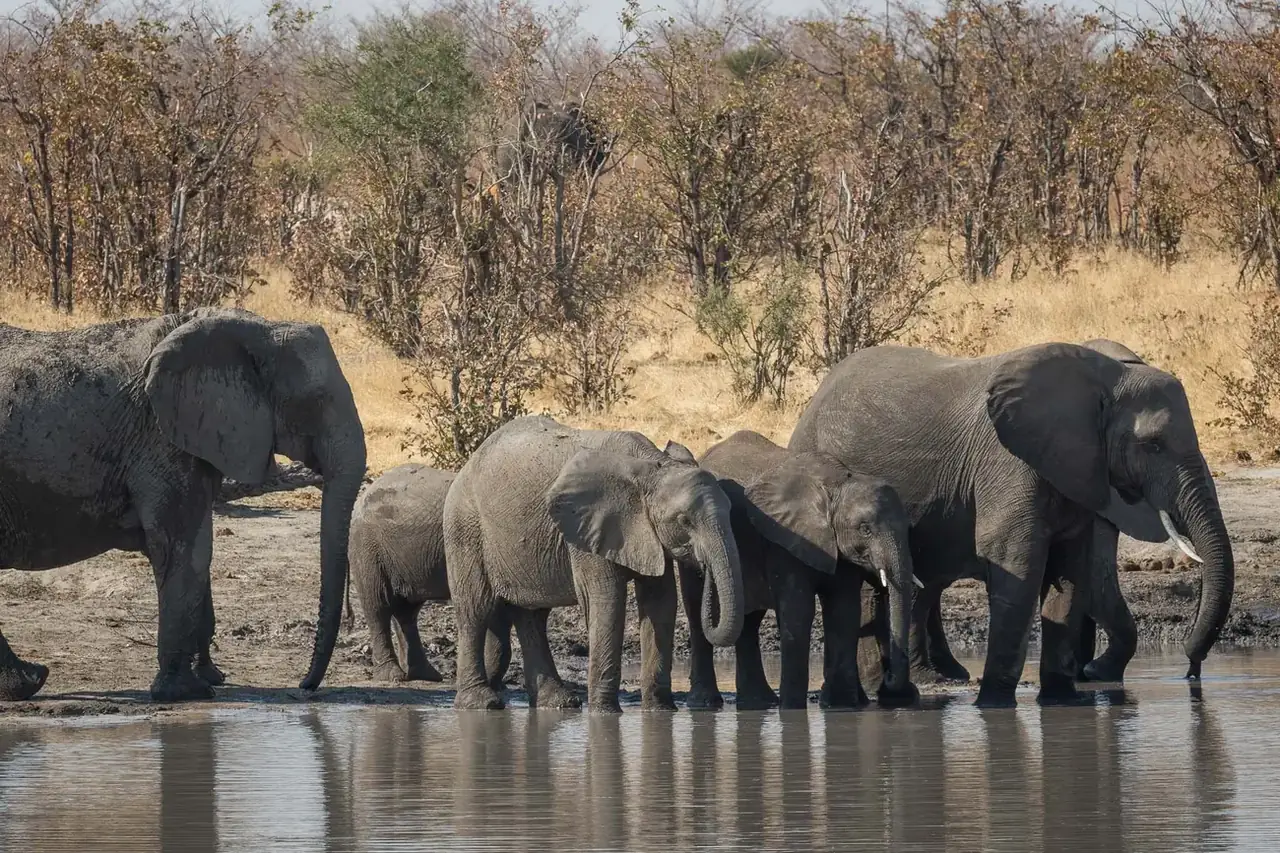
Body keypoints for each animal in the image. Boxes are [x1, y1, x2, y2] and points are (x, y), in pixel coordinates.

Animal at [0, 307, 366, 701]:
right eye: (315, 402)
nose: (304, 687)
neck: (256, 327)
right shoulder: (161, 437)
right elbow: (186, 546)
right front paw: (187, 692)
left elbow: (193, 547)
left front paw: (210, 677)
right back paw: (30, 681)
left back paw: (28, 681)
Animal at [348, 462, 513, 685]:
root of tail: (364, 494)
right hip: (367, 546)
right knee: (378, 606)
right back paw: (393, 676)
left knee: (406, 610)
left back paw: (426, 675)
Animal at [444, 415, 745, 712]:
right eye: (685, 521)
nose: (703, 568)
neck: (652, 469)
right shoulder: (588, 529)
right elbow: (607, 599)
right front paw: (605, 713)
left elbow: (661, 601)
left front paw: (660, 711)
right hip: (465, 527)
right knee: (476, 609)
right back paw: (481, 703)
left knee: (532, 615)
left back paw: (558, 703)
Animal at [673, 430, 919, 710]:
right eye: (865, 529)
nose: (888, 681)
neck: (838, 485)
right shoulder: (785, 538)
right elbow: (798, 610)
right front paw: (792, 709)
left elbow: (843, 610)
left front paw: (841, 707)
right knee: (697, 613)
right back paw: (705, 704)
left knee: (749, 621)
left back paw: (758, 703)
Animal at [790, 341, 1233, 707]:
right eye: (1152, 444)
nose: (1191, 669)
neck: (1103, 378)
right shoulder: (1008, 463)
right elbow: (1018, 565)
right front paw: (994, 705)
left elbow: (1070, 574)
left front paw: (1062, 700)